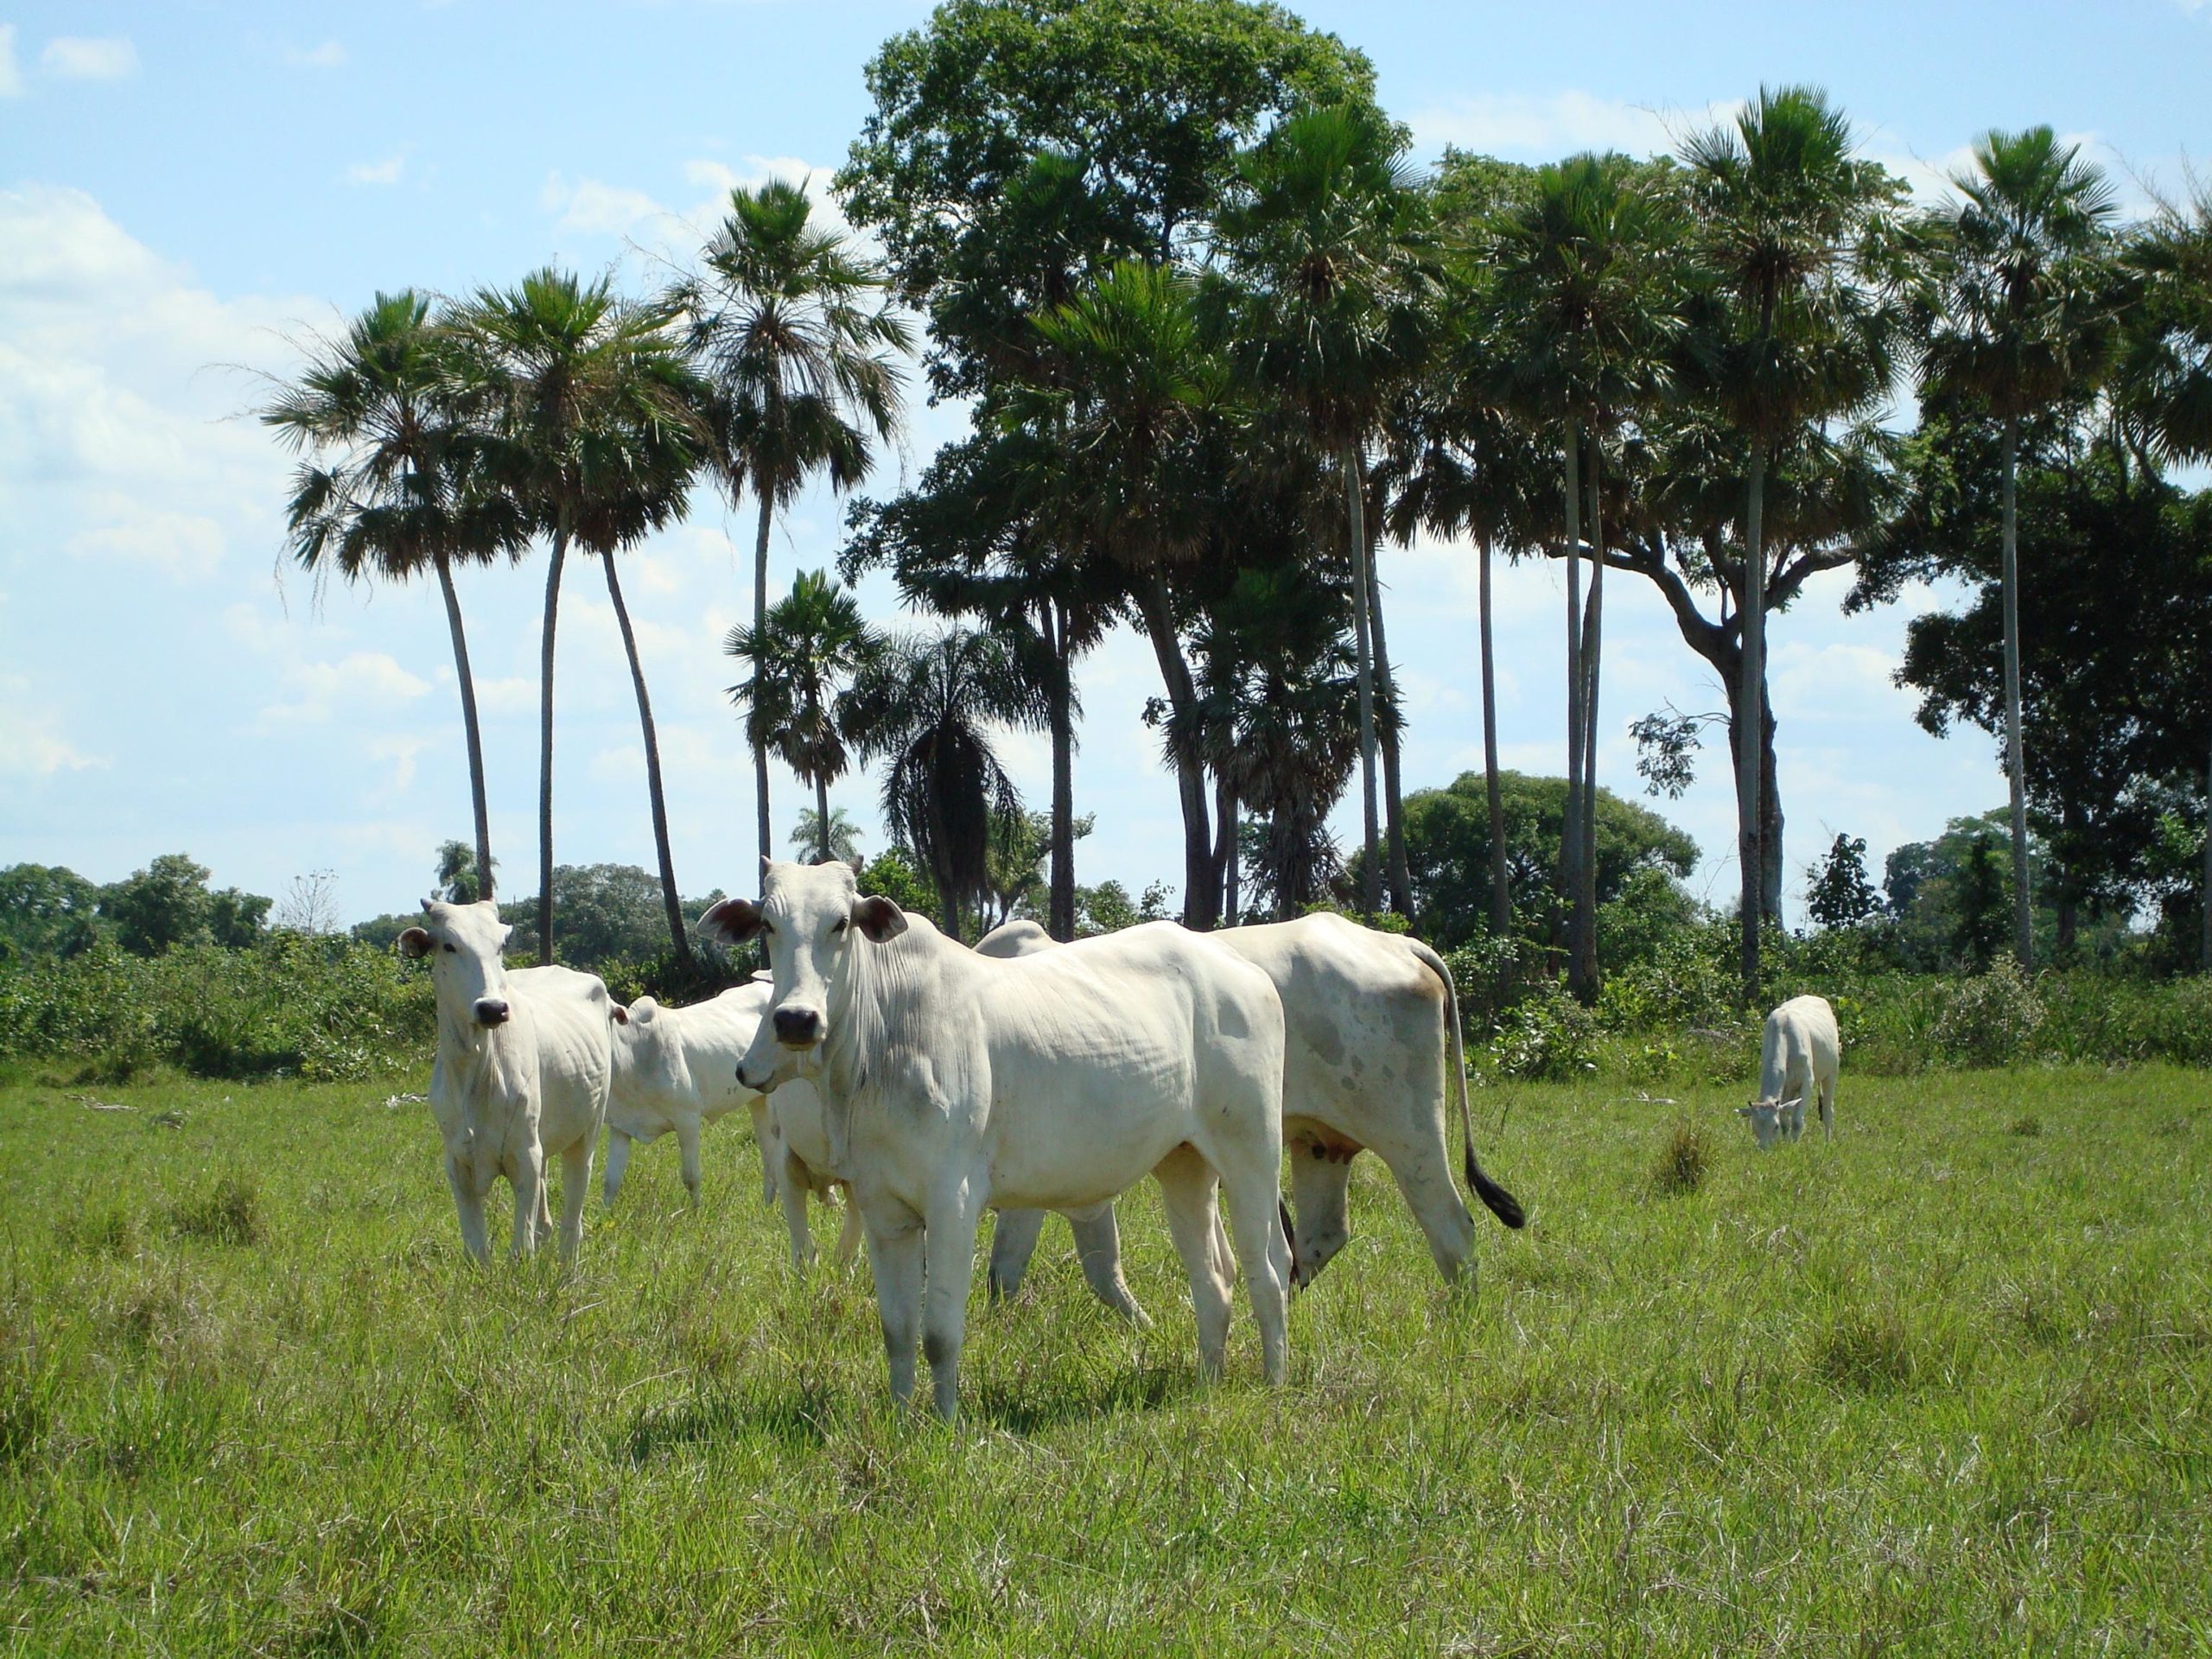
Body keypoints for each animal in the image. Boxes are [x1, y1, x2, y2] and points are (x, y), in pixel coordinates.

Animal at [402, 902, 614, 1265]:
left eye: (501, 945)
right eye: (449, 946)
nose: (492, 1008)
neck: (475, 1071)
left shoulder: (525, 1157)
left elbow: (521, 1248)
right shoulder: (457, 1163)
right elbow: (476, 1249)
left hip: (587, 1132)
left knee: (572, 1220)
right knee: (546, 1223)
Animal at [703, 862, 1292, 1424]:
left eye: (841, 923)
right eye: (768, 925)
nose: (795, 1020)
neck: (883, 1039)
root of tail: (1242, 970)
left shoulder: (953, 1202)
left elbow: (940, 1334)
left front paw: (945, 1425)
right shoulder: (883, 1210)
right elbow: (898, 1331)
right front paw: (900, 1418)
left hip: (1252, 1152)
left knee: (1267, 1270)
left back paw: (1273, 1383)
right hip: (1184, 1164)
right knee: (1212, 1281)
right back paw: (1206, 1386)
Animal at [982, 915, 1522, 1309]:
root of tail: (1399, 946)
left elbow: (1010, 1267)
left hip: (1409, 1133)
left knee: (1452, 1227)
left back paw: (1463, 1317)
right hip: (1320, 1144)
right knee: (1321, 1236)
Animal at [1734, 995, 1840, 1150]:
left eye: (1775, 1126)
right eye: (1754, 1127)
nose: (1764, 1148)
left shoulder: (1807, 1082)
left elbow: (1796, 1122)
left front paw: (1794, 1146)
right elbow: (1785, 1119)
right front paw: (1787, 1143)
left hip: (1831, 1072)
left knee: (1828, 1110)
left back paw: (1827, 1141)